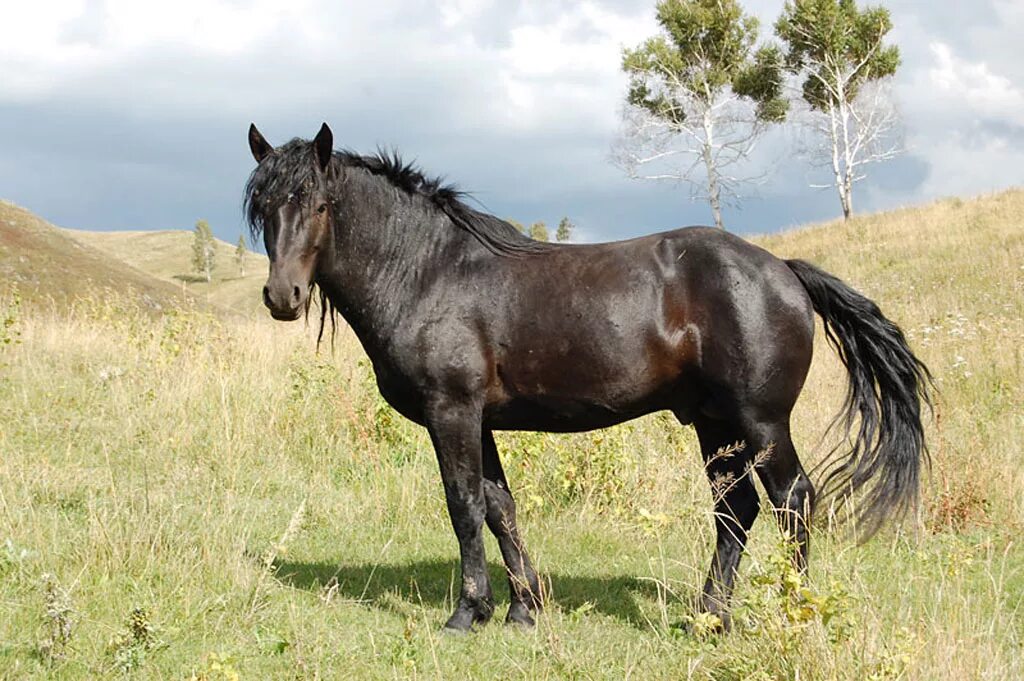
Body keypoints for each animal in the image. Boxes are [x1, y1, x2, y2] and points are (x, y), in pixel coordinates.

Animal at [245, 123, 929, 630]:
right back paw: (708, 618)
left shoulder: (452, 411)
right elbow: (500, 506)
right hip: (716, 425)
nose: (282, 296)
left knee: (793, 502)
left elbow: (464, 505)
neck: (429, 272)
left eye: (320, 204)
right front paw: (521, 610)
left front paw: (468, 612)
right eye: (264, 209)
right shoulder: (479, 420)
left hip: (761, 422)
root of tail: (783, 269)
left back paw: (794, 612)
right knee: (735, 511)